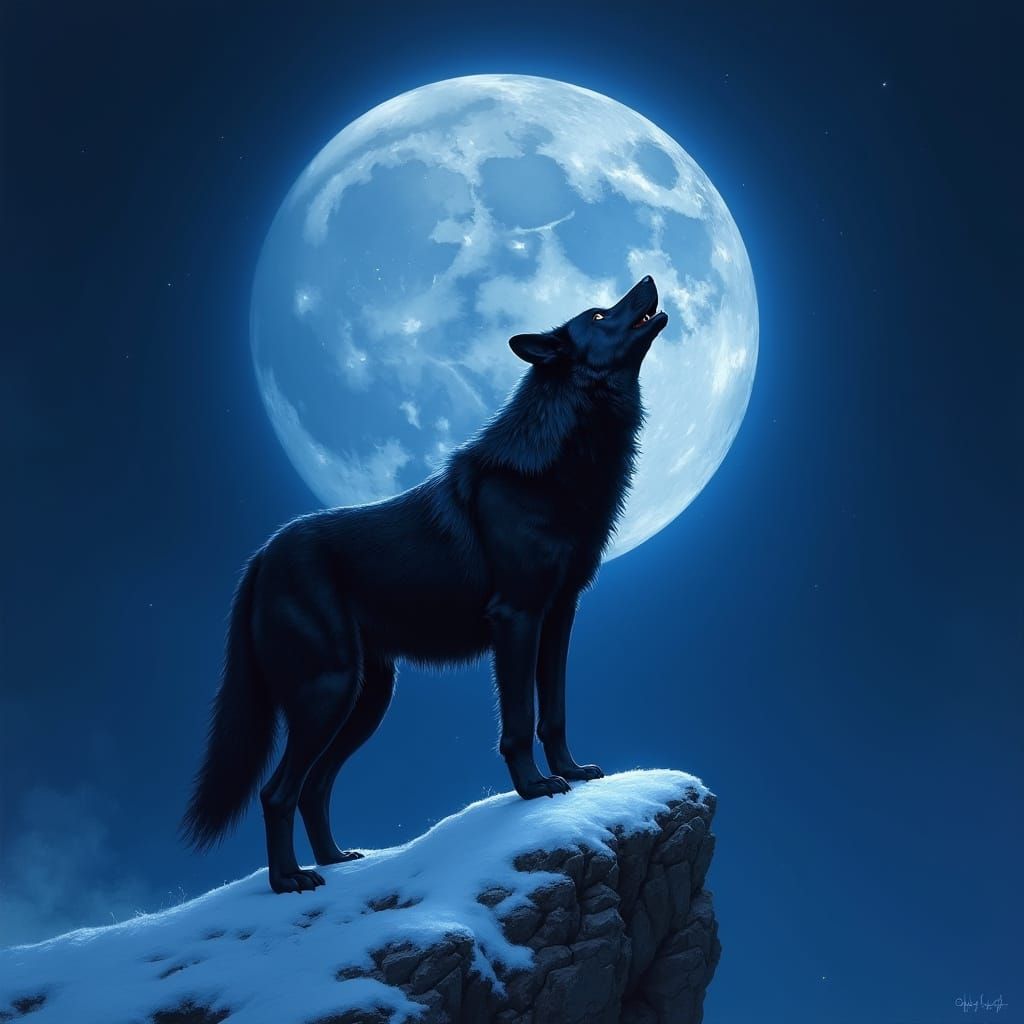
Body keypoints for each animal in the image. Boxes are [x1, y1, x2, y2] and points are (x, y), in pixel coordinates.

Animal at [180, 277, 668, 893]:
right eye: (600, 315)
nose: (648, 279)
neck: (557, 466)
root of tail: (261, 555)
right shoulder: (516, 618)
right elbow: (519, 719)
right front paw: (534, 788)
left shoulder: (559, 616)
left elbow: (554, 711)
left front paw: (572, 773)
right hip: (328, 694)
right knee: (277, 791)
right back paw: (290, 880)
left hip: (368, 700)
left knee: (315, 786)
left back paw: (337, 859)